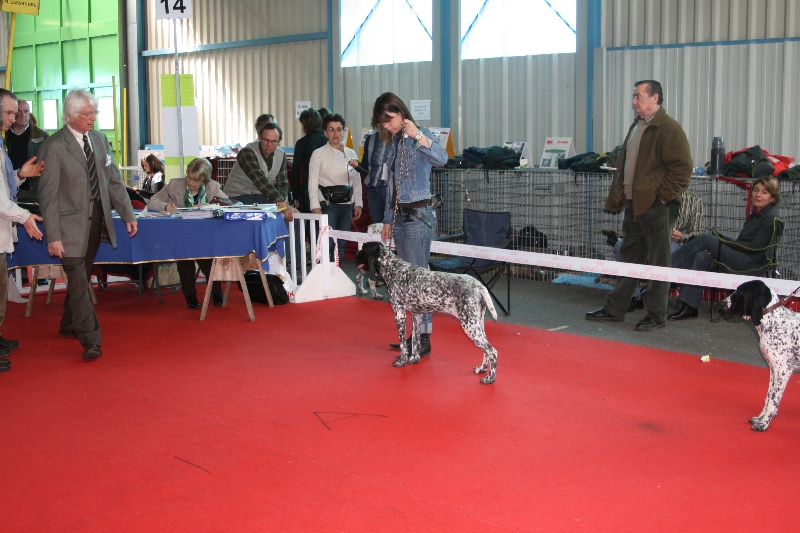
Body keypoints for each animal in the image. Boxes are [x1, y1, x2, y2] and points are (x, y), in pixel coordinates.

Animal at [358, 241, 500, 382]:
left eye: (363, 249)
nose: (356, 255)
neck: (394, 269)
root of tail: (478, 285)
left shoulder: (399, 314)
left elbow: (403, 343)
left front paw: (402, 361)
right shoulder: (417, 315)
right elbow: (415, 340)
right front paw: (414, 359)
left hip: (469, 325)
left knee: (492, 351)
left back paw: (490, 378)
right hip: (477, 324)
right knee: (486, 351)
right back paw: (481, 369)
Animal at [720, 280, 800, 430]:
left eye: (741, 291)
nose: (721, 303)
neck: (773, 321)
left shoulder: (783, 371)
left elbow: (773, 399)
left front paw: (764, 424)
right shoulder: (773, 370)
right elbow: (768, 396)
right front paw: (761, 418)